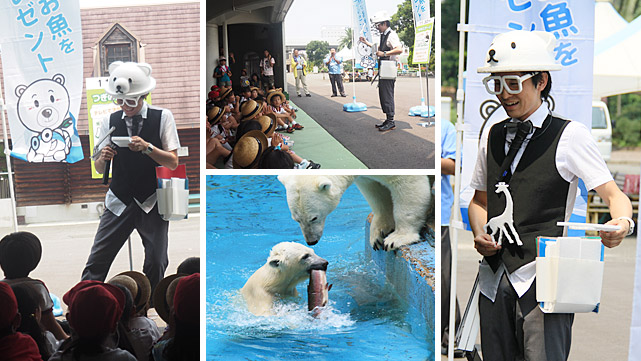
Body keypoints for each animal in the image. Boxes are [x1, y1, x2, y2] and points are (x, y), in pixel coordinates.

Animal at [278, 174, 432, 250]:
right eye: (296, 219)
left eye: (314, 218)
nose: (311, 241)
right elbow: (375, 190)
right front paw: (378, 235)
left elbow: (409, 186)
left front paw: (396, 239)